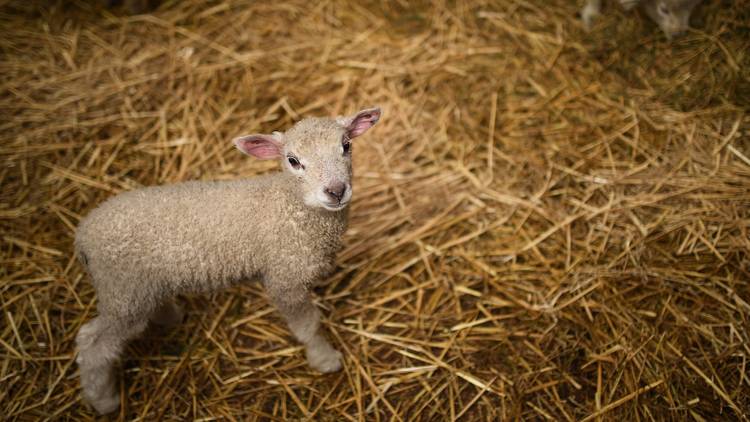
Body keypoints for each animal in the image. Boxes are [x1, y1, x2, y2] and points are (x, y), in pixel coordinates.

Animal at [75, 107, 382, 414]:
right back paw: (104, 401)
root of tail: (83, 235)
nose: (336, 191)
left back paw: (169, 316)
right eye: (293, 161)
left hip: (137, 288)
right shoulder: (285, 279)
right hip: (123, 292)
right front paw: (325, 359)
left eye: (346, 146)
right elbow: (309, 325)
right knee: (92, 344)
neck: (290, 204)